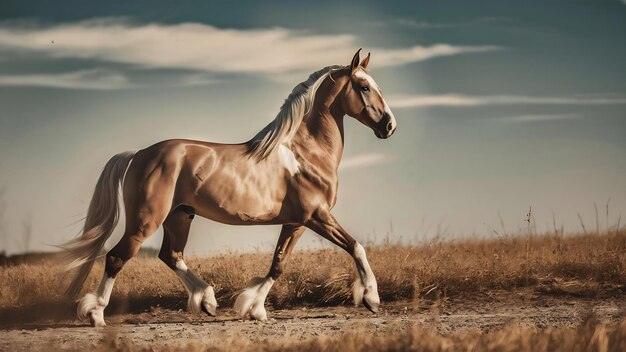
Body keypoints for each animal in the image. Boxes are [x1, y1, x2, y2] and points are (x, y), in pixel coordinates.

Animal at [62, 48, 394, 326]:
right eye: (364, 87)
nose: (389, 126)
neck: (305, 153)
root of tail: (138, 154)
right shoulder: (317, 216)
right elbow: (356, 246)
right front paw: (371, 298)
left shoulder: (295, 222)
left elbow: (278, 265)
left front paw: (255, 309)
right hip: (145, 220)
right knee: (117, 257)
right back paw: (96, 315)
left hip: (179, 216)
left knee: (171, 255)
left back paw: (207, 301)